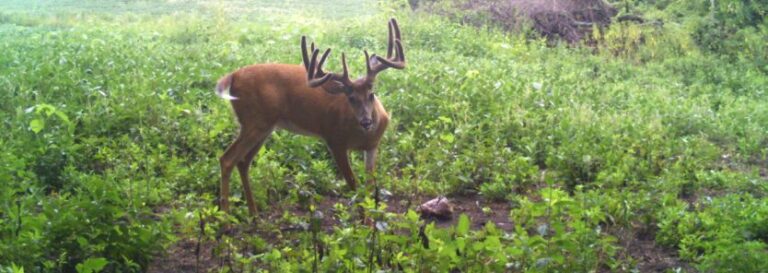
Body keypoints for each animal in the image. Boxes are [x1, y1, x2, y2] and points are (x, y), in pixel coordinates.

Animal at [213, 18, 404, 215]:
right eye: (350, 98)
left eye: (371, 94)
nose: (366, 121)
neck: (361, 135)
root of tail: (232, 76)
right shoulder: (334, 140)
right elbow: (354, 186)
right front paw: (361, 220)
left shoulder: (373, 146)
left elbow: (369, 188)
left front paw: (370, 218)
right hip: (254, 121)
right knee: (227, 159)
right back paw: (225, 214)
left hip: (263, 126)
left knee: (243, 162)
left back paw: (254, 214)